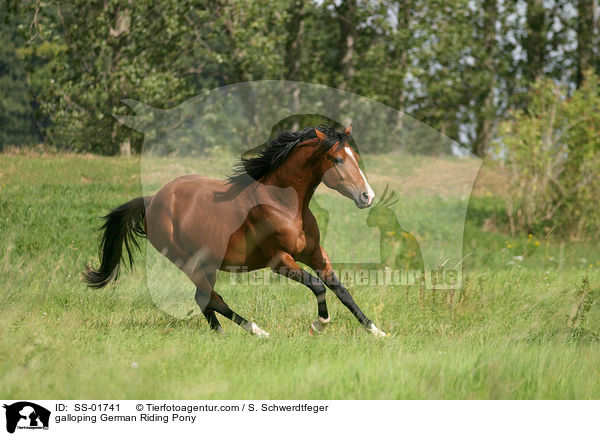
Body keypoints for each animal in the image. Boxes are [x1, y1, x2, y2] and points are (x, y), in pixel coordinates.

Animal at [83, 125, 390, 338]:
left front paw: (377, 331)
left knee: (206, 299)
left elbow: (341, 289)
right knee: (208, 298)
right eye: (337, 159)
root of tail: (151, 201)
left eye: (355, 156)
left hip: (207, 263)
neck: (284, 205)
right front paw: (319, 325)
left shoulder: (314, 253)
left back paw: (227, 334)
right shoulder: (279, 261)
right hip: (188, 261)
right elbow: (317, 286)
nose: (367, 196)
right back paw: (256, 332)